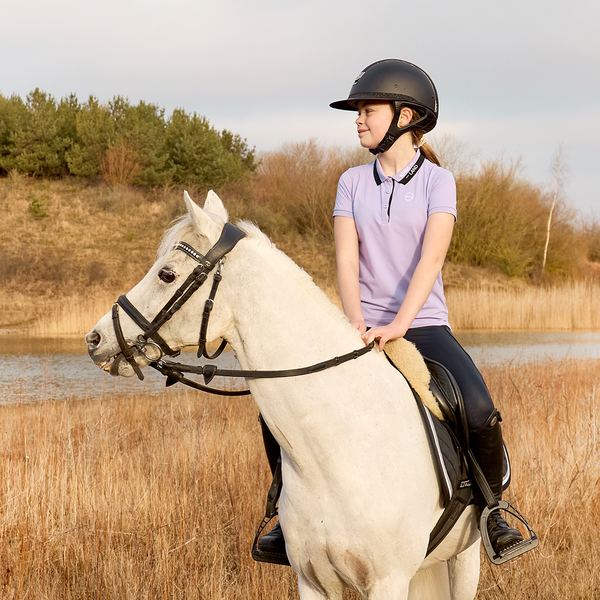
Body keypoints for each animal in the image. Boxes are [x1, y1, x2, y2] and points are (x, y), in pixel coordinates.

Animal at [84, 192, 480, 600]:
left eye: (167, 274)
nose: (95, 338)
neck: (338, 447)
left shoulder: (389, 581)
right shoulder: (314, 581)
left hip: (465, 556)